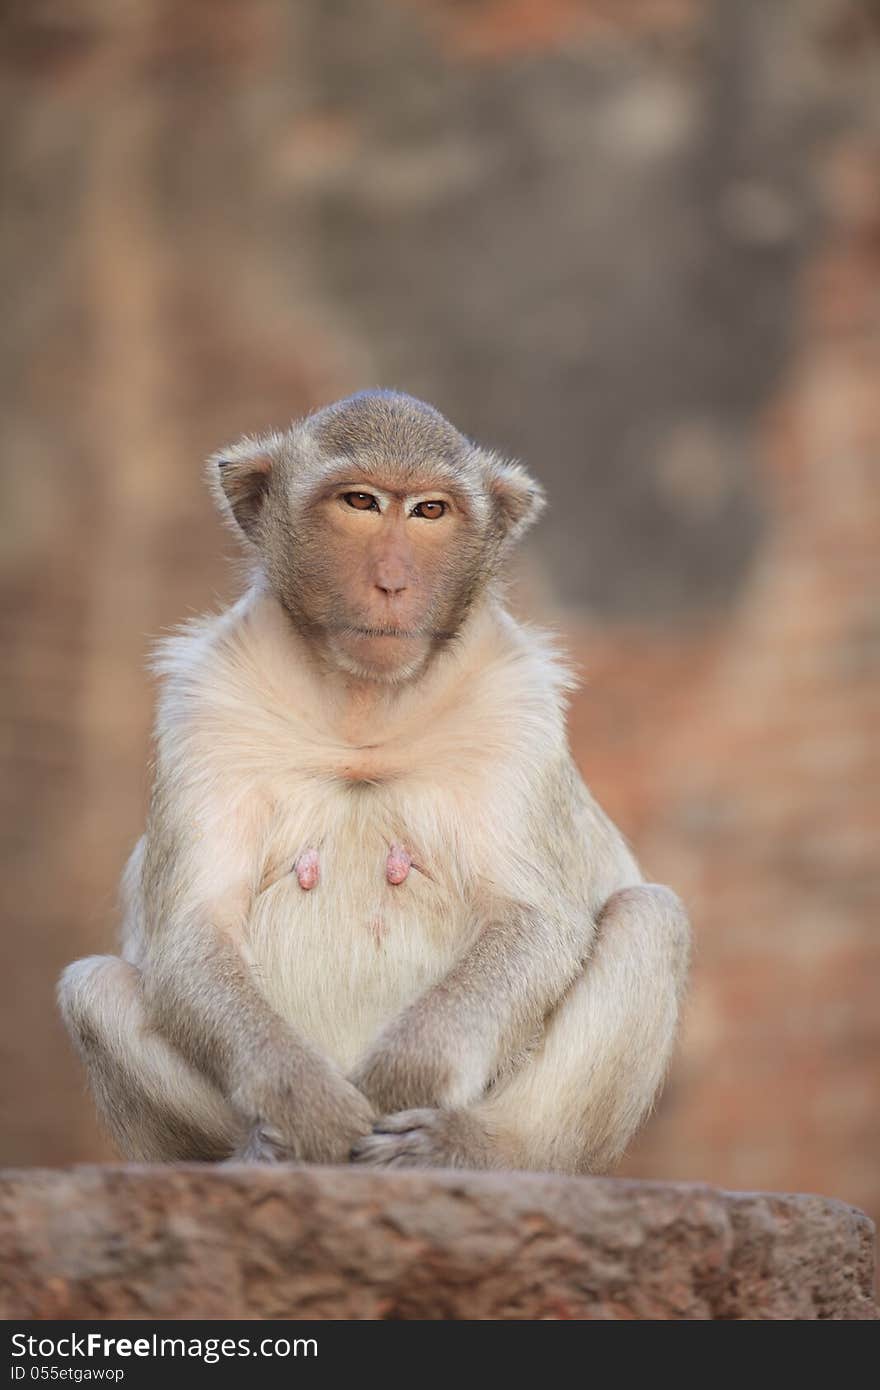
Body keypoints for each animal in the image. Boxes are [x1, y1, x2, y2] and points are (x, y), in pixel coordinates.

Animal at [58, 391, 692, 1173]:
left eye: (428, 511)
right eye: (360, 502)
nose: (392, 581)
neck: (361, 711)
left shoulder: (513, 708)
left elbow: (532, 918)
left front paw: (401, 1080)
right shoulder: (205, 704)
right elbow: (193, 929)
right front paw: (306, 1106)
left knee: (649, 918)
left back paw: (474, 1149)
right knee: (93, 988)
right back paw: (255, 1154)